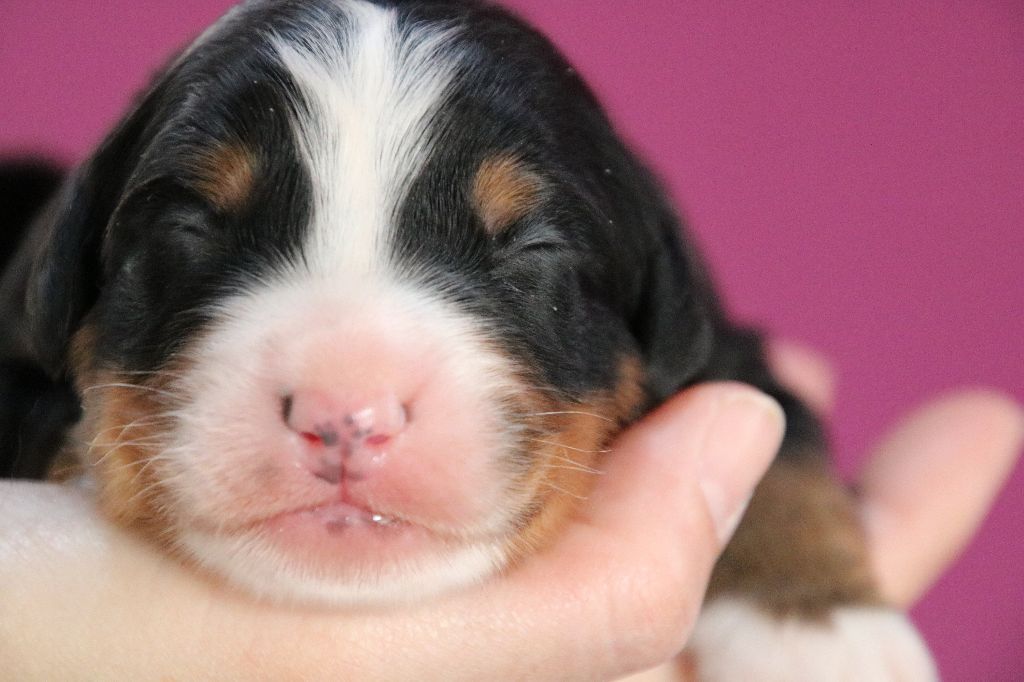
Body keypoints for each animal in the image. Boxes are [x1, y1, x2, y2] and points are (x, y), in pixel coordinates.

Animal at [0, 0, 937, 675]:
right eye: (190, 227)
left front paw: (827, 635)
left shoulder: (717, 345)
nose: (347, 414)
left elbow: (781, 437)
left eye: (532, 248)